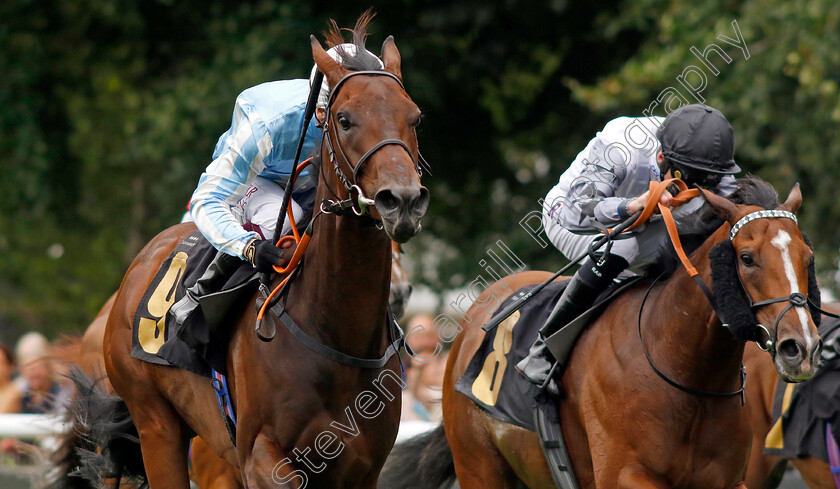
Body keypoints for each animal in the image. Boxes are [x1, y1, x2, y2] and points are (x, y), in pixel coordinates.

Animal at [60, 15, 426, 488]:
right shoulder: (256, 456)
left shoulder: (365, 468)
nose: (402, 200)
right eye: (344, 119)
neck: (335, 336)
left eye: (415, 118)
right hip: (154, 423)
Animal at [386, 179, 820, 488]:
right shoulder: (624, 474)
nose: (800, 347)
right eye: (746, 258)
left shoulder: (729, 480)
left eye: (808, 257)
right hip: (479, 467)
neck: (686, 369)